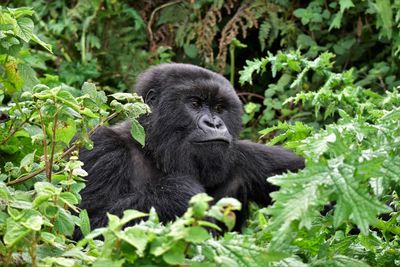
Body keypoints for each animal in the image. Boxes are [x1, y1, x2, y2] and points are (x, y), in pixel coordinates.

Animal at [77, 63, 304, 236]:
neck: (154, 151)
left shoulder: (246, 156)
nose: (215, 124)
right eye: (195, 103)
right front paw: (177, 193)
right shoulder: (103, 147)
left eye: (219, 108)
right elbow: (88, 226)